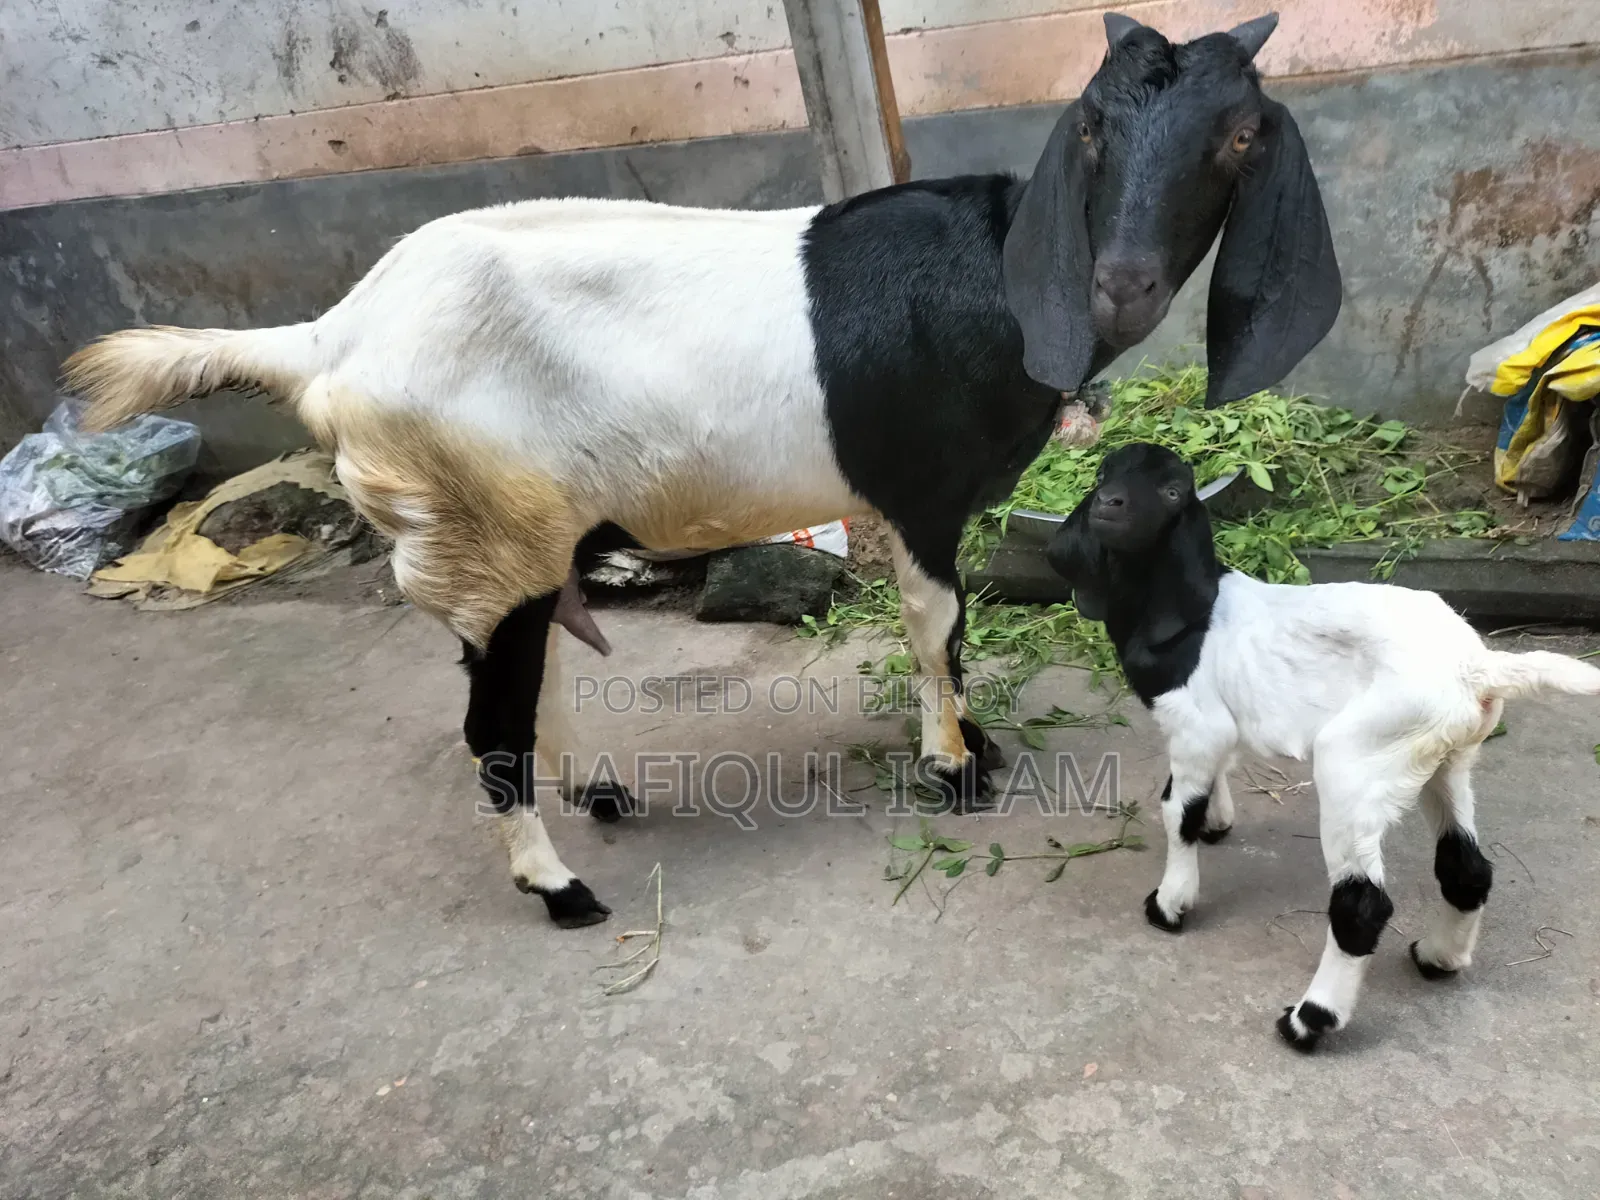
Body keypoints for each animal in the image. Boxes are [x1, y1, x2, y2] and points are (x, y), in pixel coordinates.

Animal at [61, 12, 1340, 928]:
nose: (1121, 280)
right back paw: (560, 889)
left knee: (529, 680)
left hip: (509, 535)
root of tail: (333, 337)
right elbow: (935, 623)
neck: (999, 273)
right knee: (490, 724)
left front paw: (973, 748)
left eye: (1239, 135)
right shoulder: (916, 488)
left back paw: (598, 795)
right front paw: (954, 770)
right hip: (481, 524)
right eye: (1090, 128)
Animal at [1045, 442, 1600, 1050]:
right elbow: (1213, 775)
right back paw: (1438, 958)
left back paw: (1309, 1021)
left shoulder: (1195, 723)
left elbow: (1176, 812)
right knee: (1466, 868)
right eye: (1103, 472)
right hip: (1445, 757)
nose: (1108, 504)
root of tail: (1476, 668)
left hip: (1357, 761)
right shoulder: (1219, 727)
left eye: (1173, 493)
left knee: (1361, 905)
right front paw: (1218, 821)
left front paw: (1170, 903)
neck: (1184, 615)